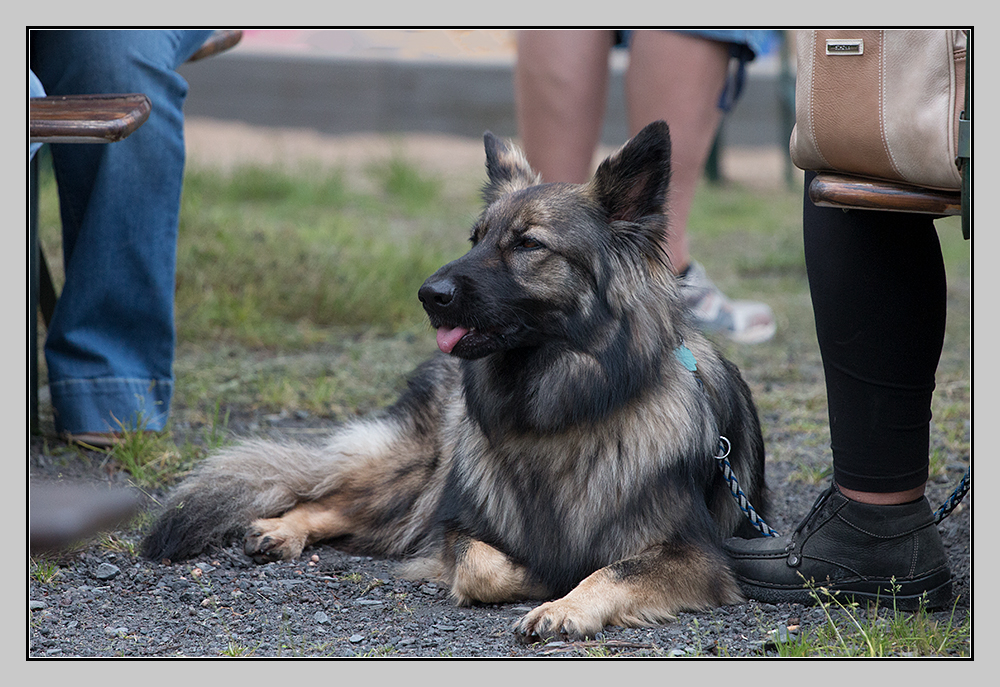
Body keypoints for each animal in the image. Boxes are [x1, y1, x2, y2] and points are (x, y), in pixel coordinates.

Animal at [141, 121, 764, 644]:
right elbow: (483, 565)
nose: (427, 295)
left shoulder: (698, 556)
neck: (558, 411)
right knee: (334, 498)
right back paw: (280, 529)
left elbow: (613, 570)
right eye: (476, 238)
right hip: (419, 473)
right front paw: (538, 580)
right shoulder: (457, 523)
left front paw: (564, 604)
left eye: (528, 244)